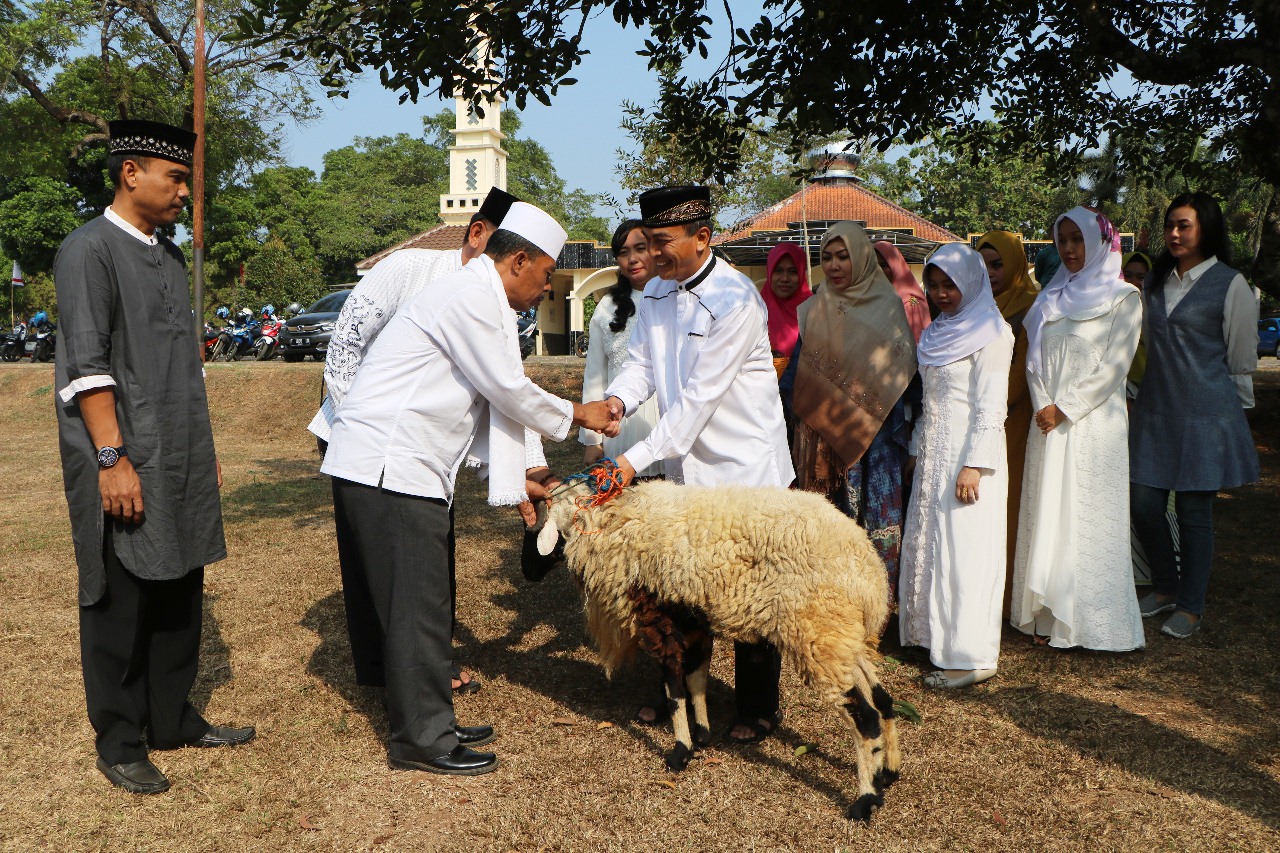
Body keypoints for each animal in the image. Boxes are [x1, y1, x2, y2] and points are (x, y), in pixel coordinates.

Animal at [522, 473, 901, 819]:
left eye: (538, 532)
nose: (527, 572)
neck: (611, 526)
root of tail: (869, 574)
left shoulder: (658, 621)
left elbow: (674, 690)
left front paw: (680, 751)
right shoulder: (693, 620)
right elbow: (696, 679)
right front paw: (703, 734)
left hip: (818, 633)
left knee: (865, 718)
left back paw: (865, 800)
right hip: (844, 637)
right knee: (882, 699)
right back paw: (888, 771)